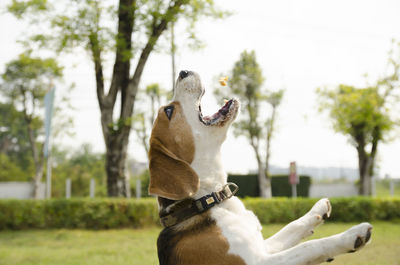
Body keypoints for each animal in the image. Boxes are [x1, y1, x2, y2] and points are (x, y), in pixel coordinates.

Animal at [148, 70, 374, 264]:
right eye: (169, 110)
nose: (183, 71)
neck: (209, 199)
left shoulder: (262, 247)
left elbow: (292, 227)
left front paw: (317, 210)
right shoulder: (259, 261)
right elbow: (310, 246)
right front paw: (352, 235)